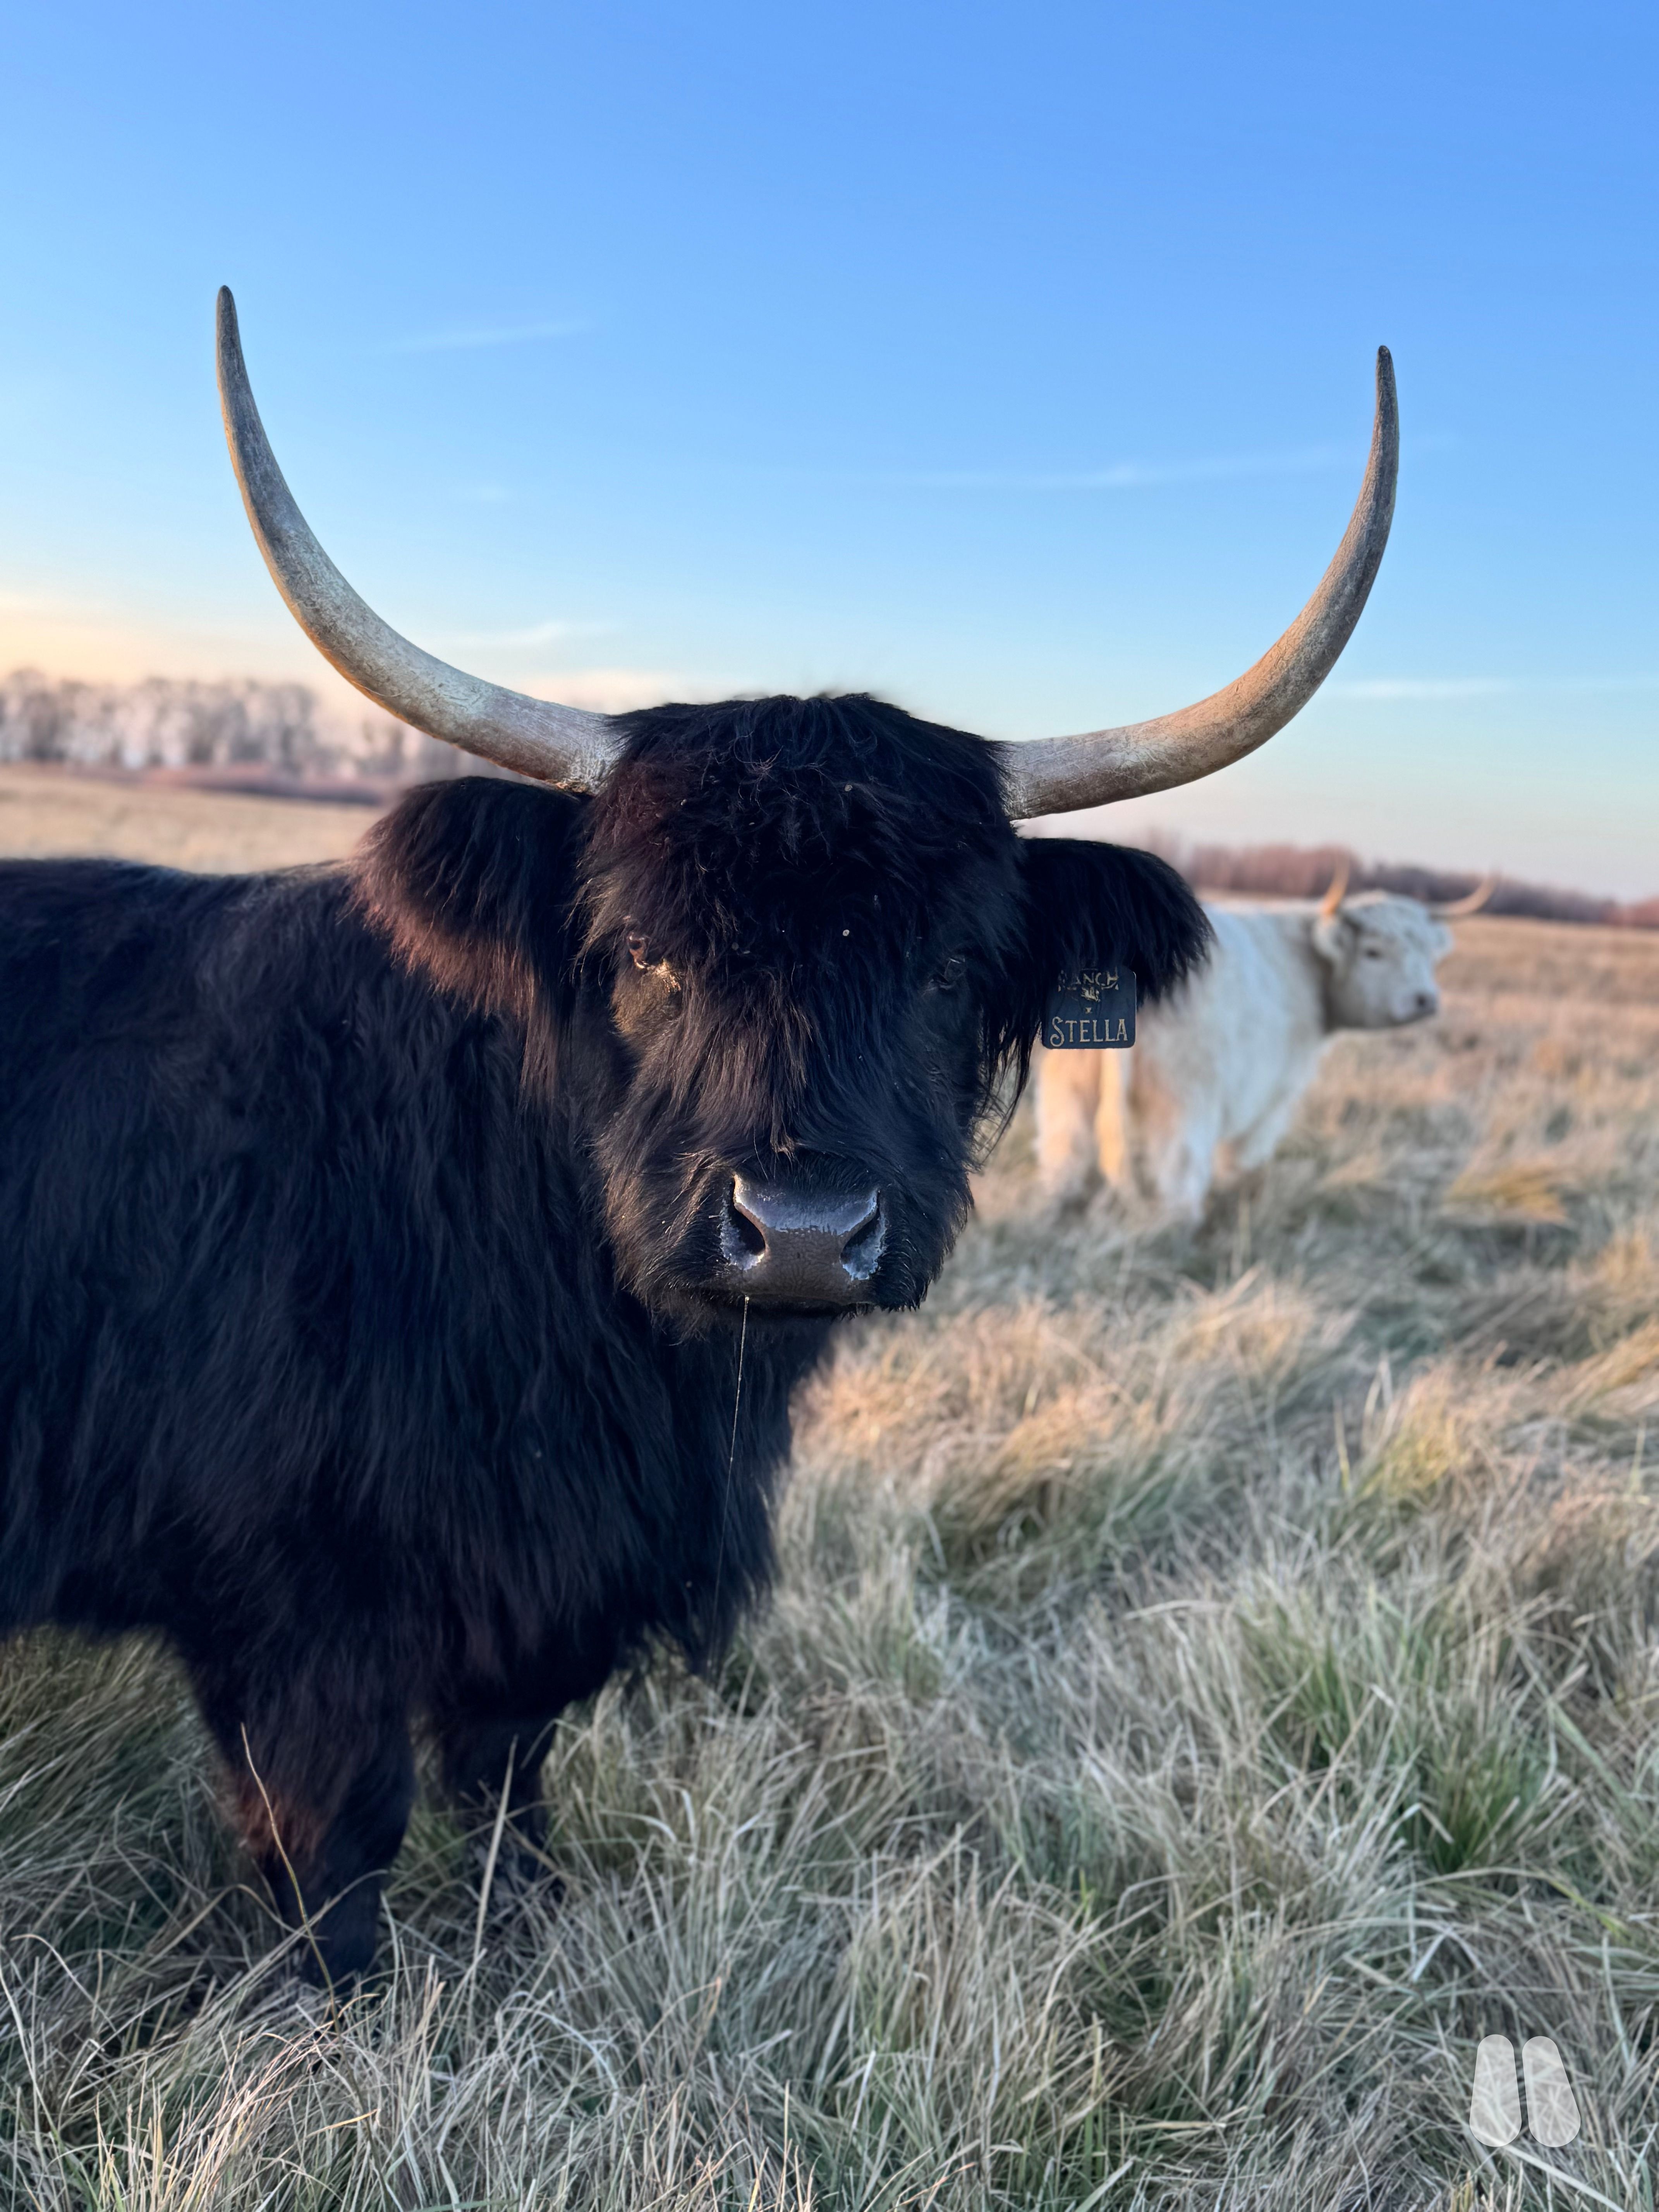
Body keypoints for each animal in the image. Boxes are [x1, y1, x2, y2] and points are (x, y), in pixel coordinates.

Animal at [0, 291, 1398, 1981]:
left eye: (948, 966)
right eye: (645, 952)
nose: (799, 1234)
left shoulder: (532, 1602)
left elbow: (509, 1794)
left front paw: (521, 1938)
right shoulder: (296, 1617)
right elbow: (334, 1863)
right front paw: (333, 2006)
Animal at [1034, 869, 1487, 1219]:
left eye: (1428, 953)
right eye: (1374, 952)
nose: (1425, 1000)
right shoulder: (1277, 1093)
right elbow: (1243, 1154)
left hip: (1067, 1084)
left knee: (1064, 1152)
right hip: (1186, 1100)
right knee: (1179, 1172)